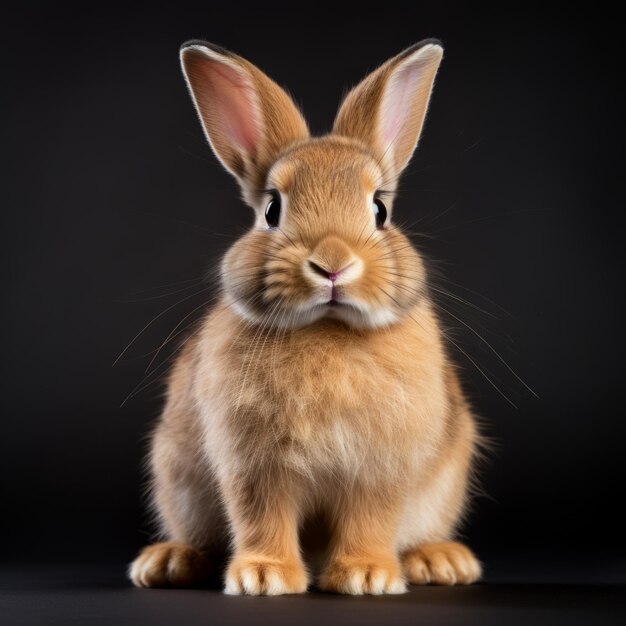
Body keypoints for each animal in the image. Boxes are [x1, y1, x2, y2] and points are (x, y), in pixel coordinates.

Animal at [129, 39, 482, 596]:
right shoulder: (253, 464)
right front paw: (263, 577)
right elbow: (261, 515)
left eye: (380, 210)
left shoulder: (379, 468)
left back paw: (440, 561)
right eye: (272, 210)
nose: (332, 263)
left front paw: (365, 576)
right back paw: (167, 562)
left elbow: (370, 518)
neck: (327, 329)